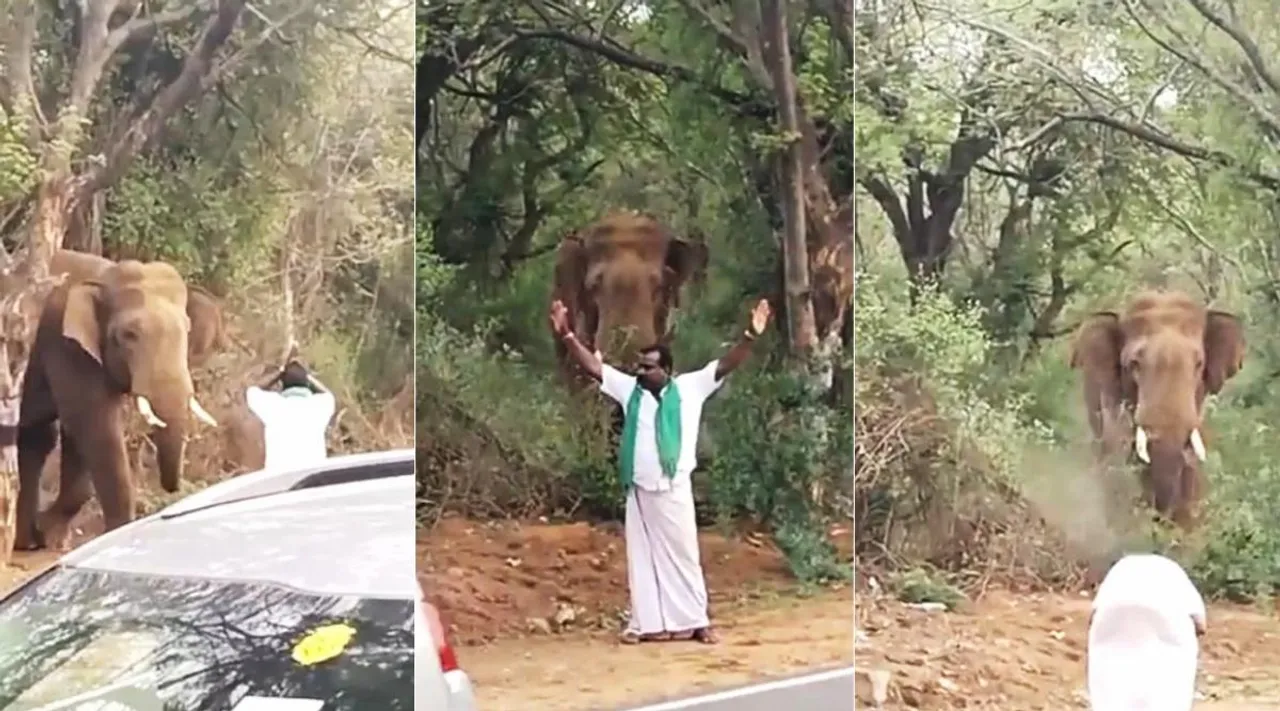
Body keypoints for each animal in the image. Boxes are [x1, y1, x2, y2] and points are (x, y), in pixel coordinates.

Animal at [16, 257, 221, 550]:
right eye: (129, 335)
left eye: (188, 329)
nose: (172, 488)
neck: (105, 276)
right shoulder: (65, 345)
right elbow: (95, 427)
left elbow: (81, 436)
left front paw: (48, 533)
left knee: (39, 436)